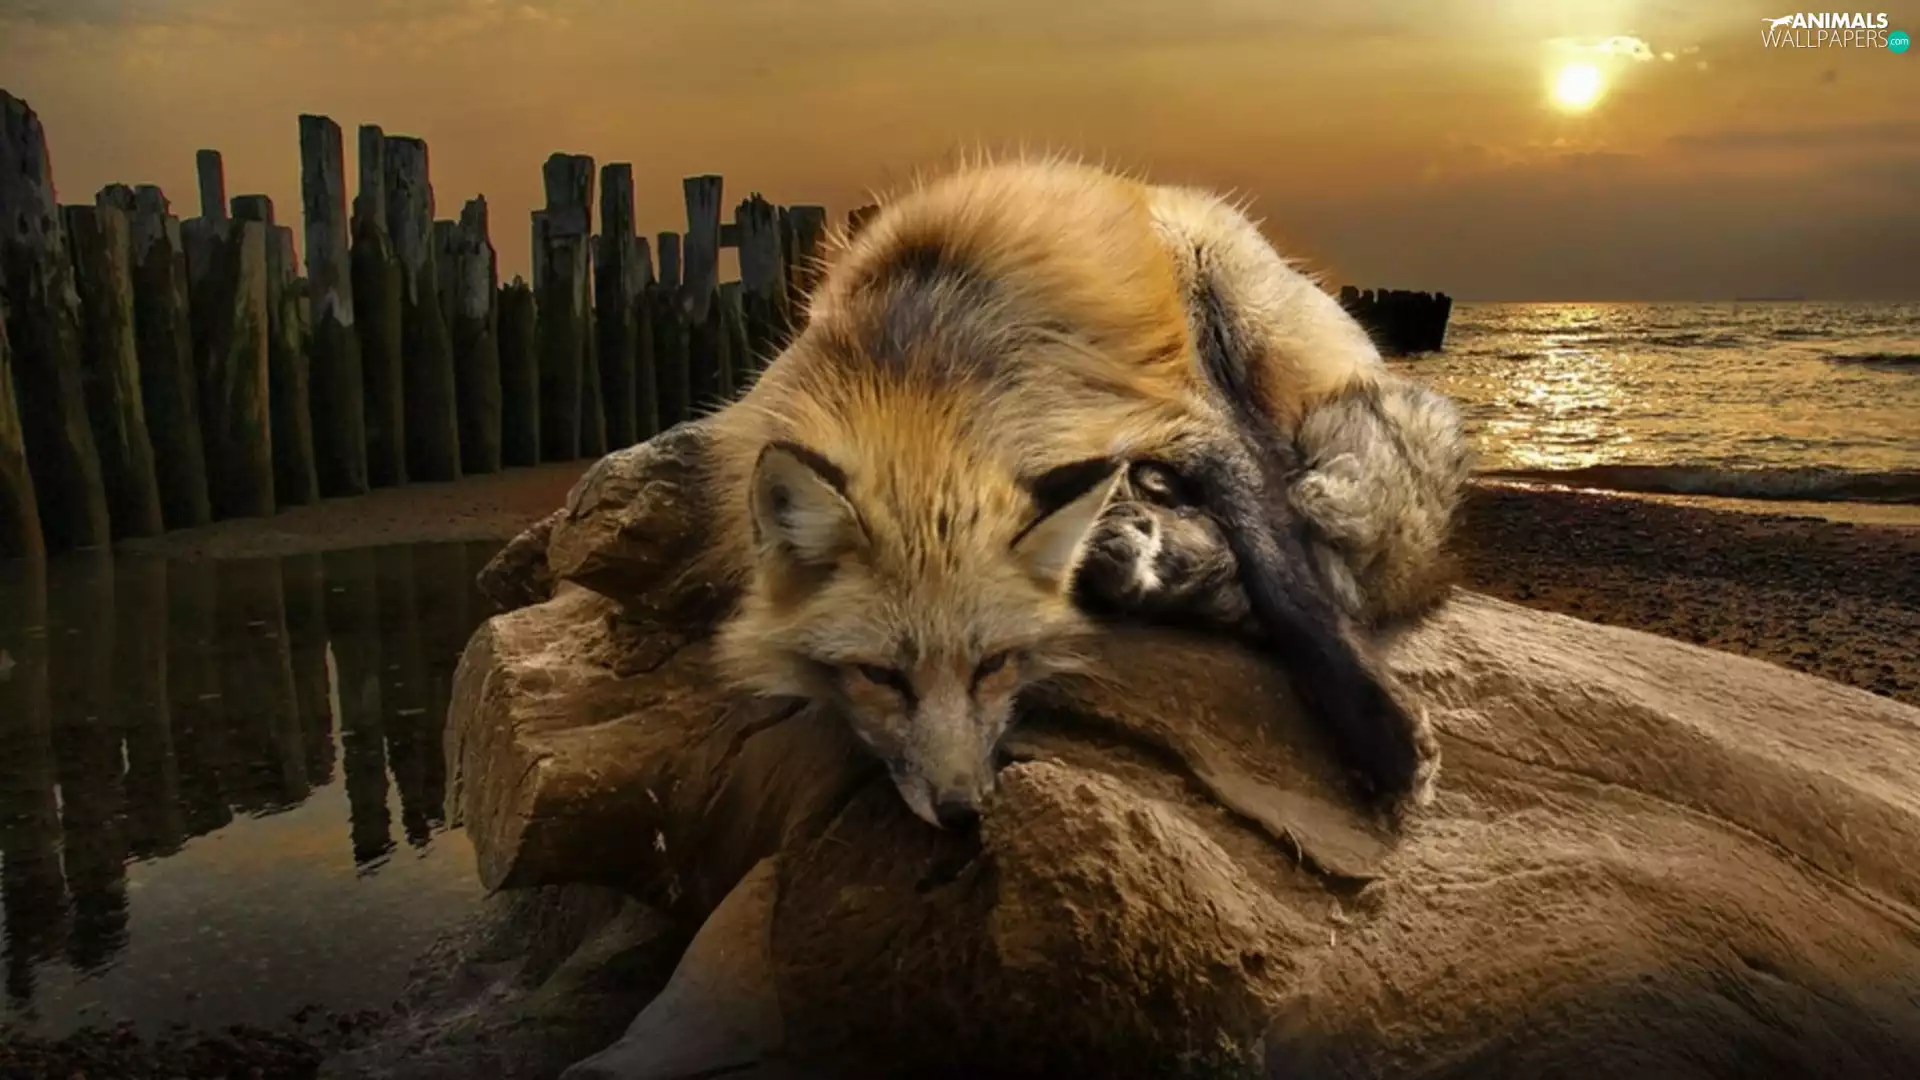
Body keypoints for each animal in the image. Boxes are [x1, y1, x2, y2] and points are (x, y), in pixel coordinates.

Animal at [700, 157, 1467, 830]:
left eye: (993, 666)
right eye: (880, 676)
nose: (961, 811)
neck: (916, 382)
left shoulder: (1178, 416)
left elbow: (1289, 585)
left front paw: (1379, 733)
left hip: (1231, 316)